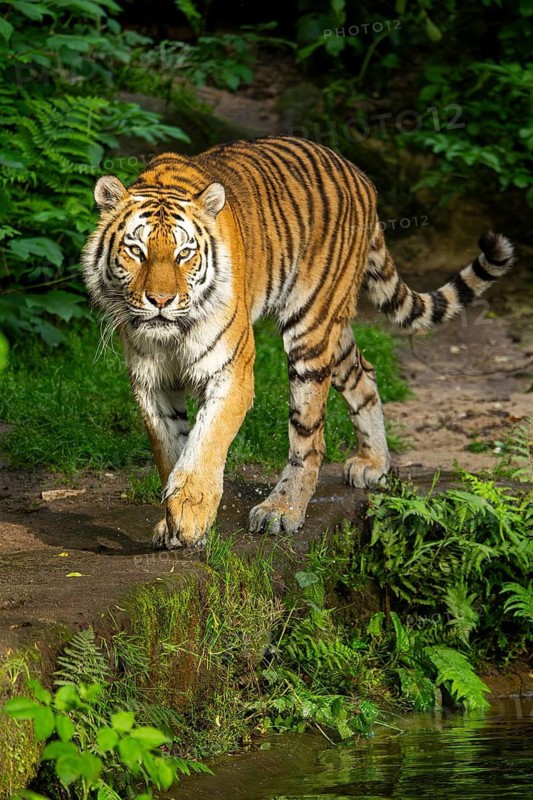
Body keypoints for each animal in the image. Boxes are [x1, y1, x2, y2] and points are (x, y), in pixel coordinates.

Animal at [82, 136, 514, 549]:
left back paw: (282, 510)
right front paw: (173, 524)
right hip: (333, 331)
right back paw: (373, 462)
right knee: (365, 374)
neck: (172, 336)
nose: (161, 301)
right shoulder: (151, 382)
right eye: (136, 250)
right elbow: (171, 450)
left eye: (185, 253)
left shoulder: (232, 371)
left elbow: (205, 443)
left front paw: (190, 515)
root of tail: (359, 174)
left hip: (311, 330)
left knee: (309, 438)